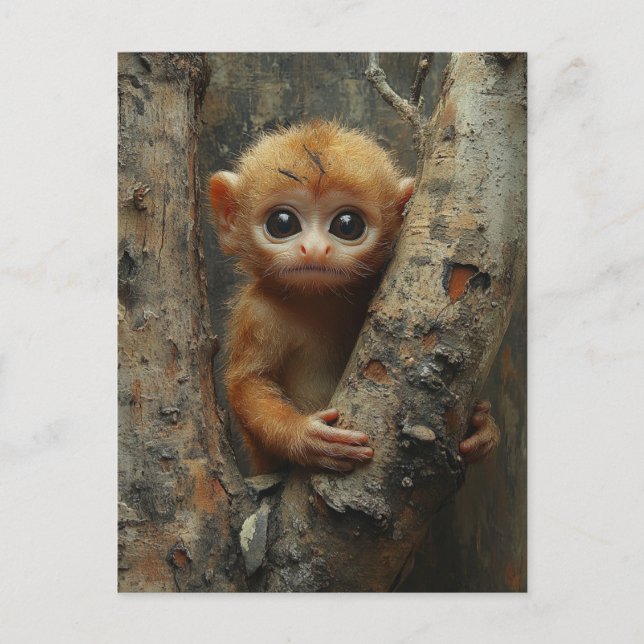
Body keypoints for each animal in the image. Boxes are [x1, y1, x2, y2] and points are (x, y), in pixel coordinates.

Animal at [209, 120, 499, 475]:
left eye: (347, 225)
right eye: (282, 223)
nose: (315, 249)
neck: (320, 299)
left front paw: (482, 427)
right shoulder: (257, 313)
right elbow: (248, 384)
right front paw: (304, 437)